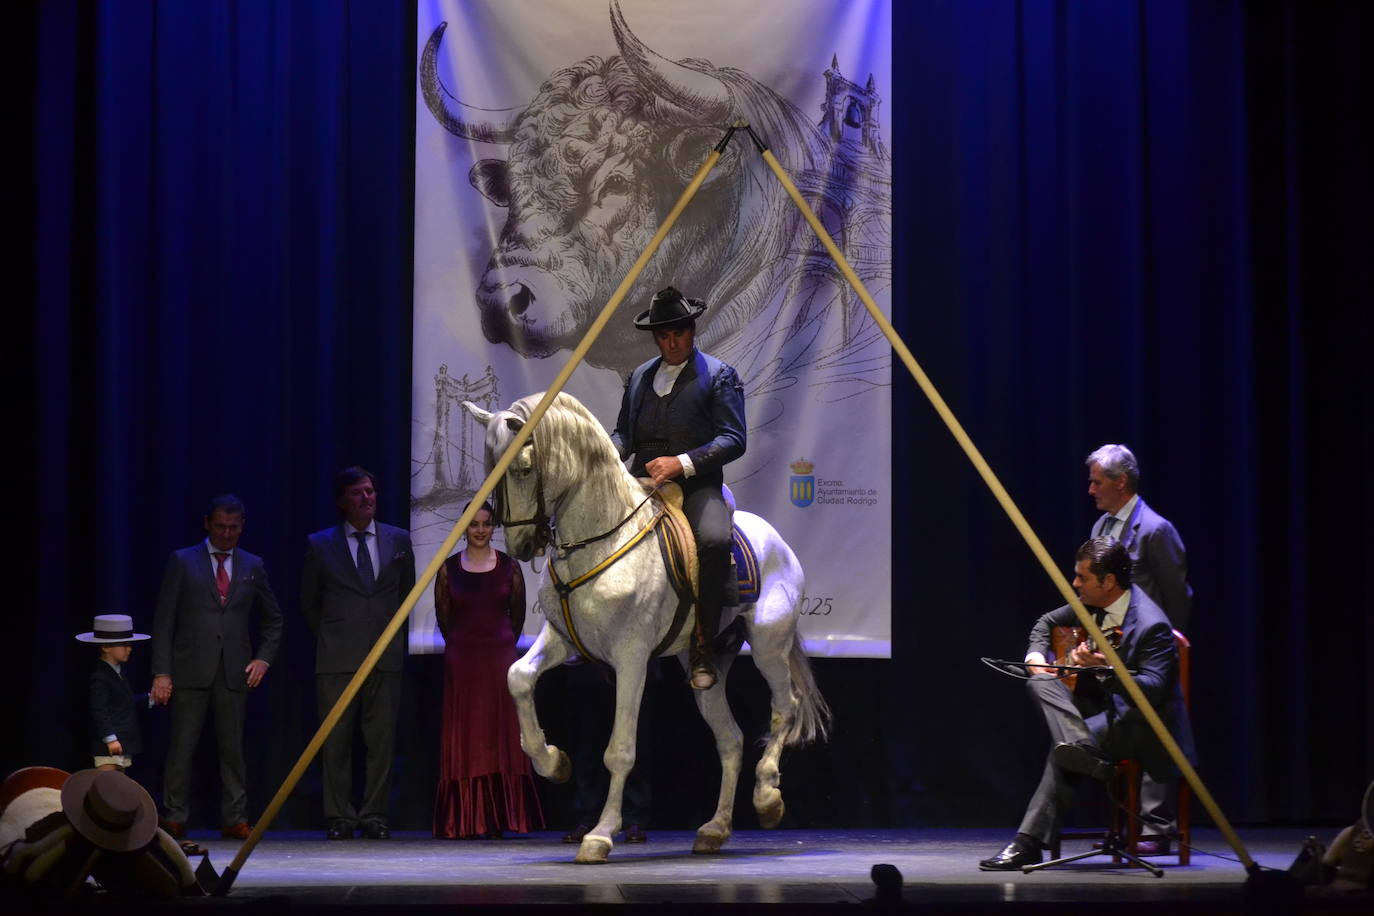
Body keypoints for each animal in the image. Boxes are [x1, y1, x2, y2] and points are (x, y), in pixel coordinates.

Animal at [464, 395, 824, 867]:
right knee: (730, 739)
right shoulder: (564, 639)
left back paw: (767, 798)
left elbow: (620, 750)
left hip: (768, 647)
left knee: (785, 709)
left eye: (523, 468)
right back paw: (714, 830)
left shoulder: (631, 657)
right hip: (707, 666)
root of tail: (775, 540)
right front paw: (553, 762)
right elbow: (519, 676)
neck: (602, 538)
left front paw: (600, 836)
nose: (521, 546)